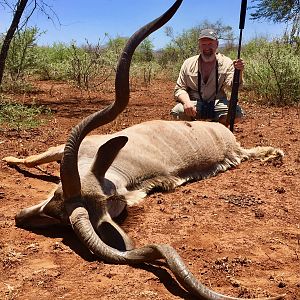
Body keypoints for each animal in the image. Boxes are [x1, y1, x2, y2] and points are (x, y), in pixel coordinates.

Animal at [2, 1, 284, 298]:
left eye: (61, 217)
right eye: (56, 196)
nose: (20, 216)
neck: (117, 170)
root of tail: (229, 138)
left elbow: (34, 157)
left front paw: (7, 158)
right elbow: (33, 159)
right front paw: (10, 159)